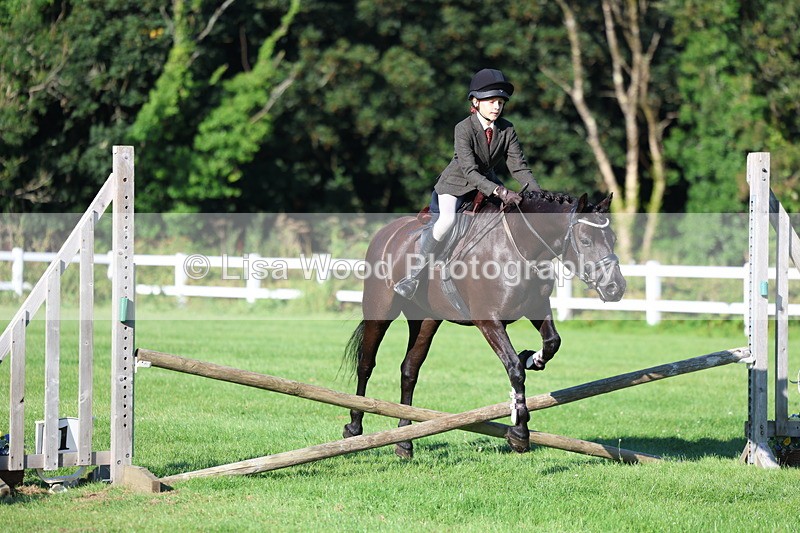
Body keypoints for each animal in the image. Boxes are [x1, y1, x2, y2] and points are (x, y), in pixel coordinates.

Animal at [341, 190, 626, 458]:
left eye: (612, 239)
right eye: (586, 240)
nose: (616, 288)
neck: (521, 249)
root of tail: (386, 232)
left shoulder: (537, 308)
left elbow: (552, 342)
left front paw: (531, 358)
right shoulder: (488, 320)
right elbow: (514, 369)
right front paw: (519, 434)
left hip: (426, 319)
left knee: (409, 369)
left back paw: (404, 441)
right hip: (380, 310)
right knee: (366, 363)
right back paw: (354, 427)